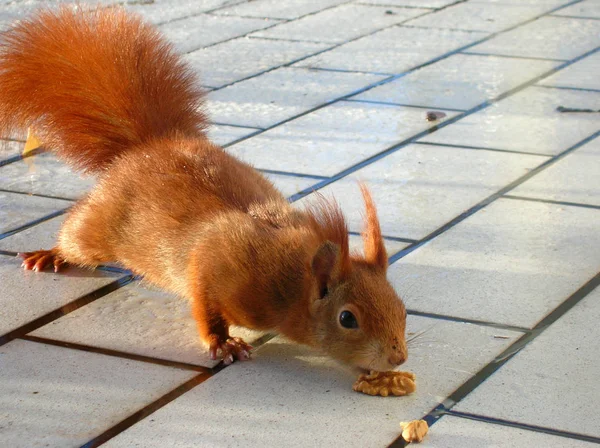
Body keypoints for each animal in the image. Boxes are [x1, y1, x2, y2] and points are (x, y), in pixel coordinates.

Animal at [0, 6, 408, 372]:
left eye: (402, 308)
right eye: (347, 318)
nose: (398, 358)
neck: (292, 280)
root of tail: (148, 145)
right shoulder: (217, 264)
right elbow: (205, 303)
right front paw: (222, 342)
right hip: (99, 225)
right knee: (77, 237)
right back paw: (51, 254)